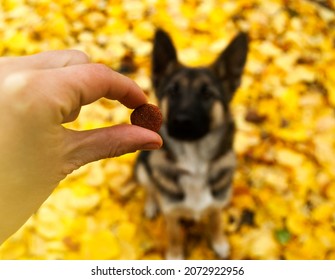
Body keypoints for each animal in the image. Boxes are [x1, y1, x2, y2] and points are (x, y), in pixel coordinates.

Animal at [135, 29, 249, 260]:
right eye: (173, 91)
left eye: (207, 93)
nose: (181, 121)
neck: (194, 163)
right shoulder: (171, 212)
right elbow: (174, 234)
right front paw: (175, 254)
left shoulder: (216, 205)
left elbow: (216, 221)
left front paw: (219, 242)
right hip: (142, 167)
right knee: (150, 188)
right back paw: (151, 204)